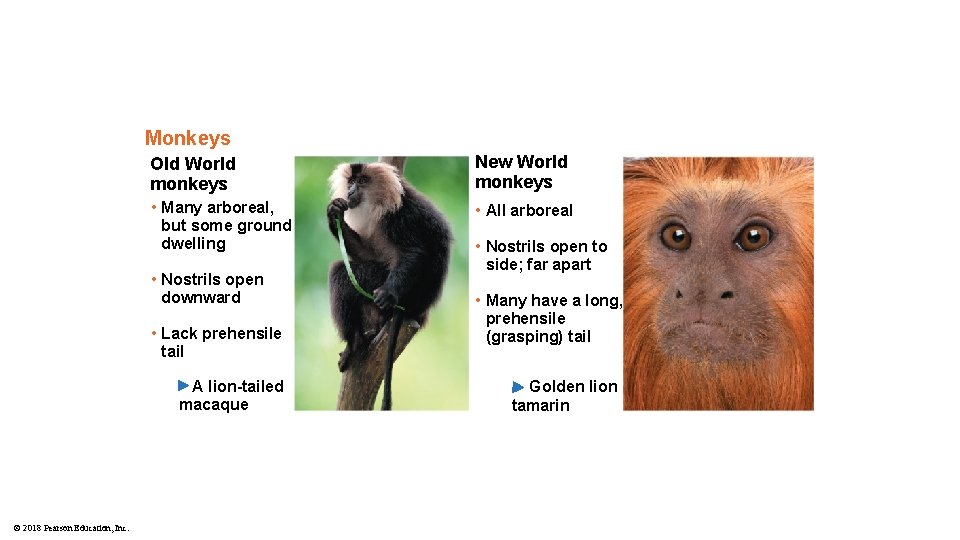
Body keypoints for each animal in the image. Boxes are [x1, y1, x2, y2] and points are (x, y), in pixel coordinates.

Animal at [327, 161, 452, 410]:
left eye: (363, 181)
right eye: (351, 181)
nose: (351, 190)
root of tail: (416, 310)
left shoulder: (400, 216)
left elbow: (414, 252)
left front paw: (389, 293)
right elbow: (365, 252)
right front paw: (334, 214)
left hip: (385, 284)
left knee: (339, 274)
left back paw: (354, 344)